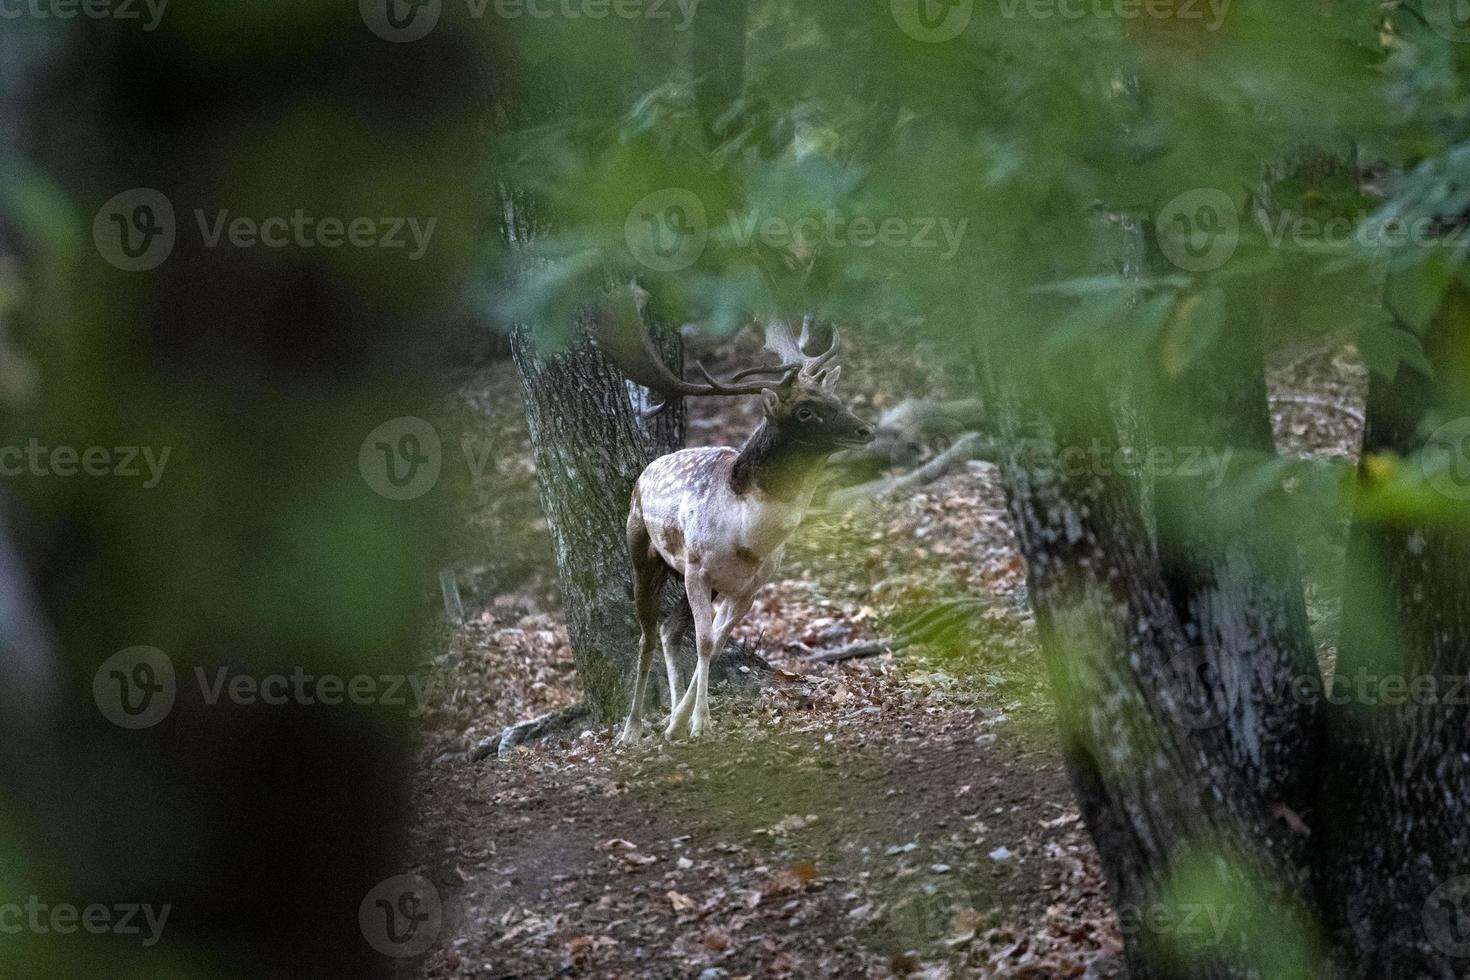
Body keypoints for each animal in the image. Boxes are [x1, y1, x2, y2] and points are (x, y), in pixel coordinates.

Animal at [593, 307, 870, 743]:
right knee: (647, 634)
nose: (865, 430)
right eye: (805, 411)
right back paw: (632, 728)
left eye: (836, 399)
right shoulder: (697, 568)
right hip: (642, 548)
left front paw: (683, 720)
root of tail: (644, 472)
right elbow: (705, 642)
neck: (749, 536)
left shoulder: (750, 587)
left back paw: (669, 718)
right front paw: (700, 723)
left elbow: (717, 641)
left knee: (670, 630)